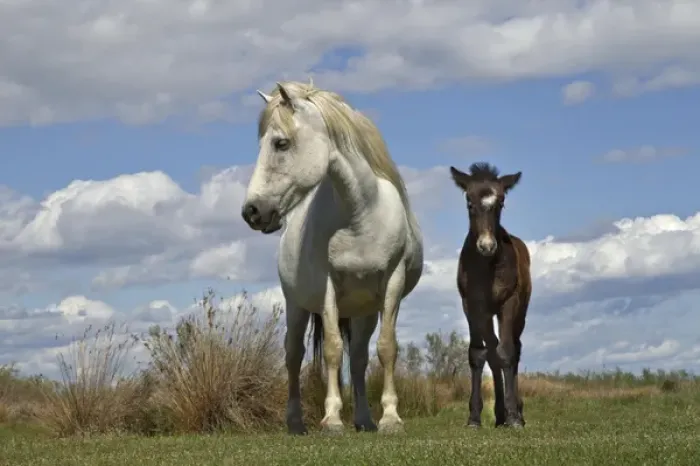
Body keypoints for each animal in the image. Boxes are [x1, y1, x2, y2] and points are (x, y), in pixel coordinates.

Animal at [241, 80, 424, 435]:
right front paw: (333, 418)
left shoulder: (392, 283)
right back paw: (296, 422)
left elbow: (386, 348)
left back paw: (365, 420)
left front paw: (390, 418)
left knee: (360, 358)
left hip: (364, 311)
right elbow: (332, 351)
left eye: (281, 143)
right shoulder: (327, 287)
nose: (252, 212)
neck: (361, 216)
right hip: (296, 305)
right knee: (294, 355)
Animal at [449, 162, 531, 428]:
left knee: (514, 348)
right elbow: (479, 353)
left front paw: (514, 417)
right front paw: (474, 418)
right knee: (492, 349)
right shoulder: (472, 305)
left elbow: (506, 352)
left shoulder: (509, 302)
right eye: (469, 201)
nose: (487, 246)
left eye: (501, 202)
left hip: (521, 313)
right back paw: (499, 414)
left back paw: (515, 411)